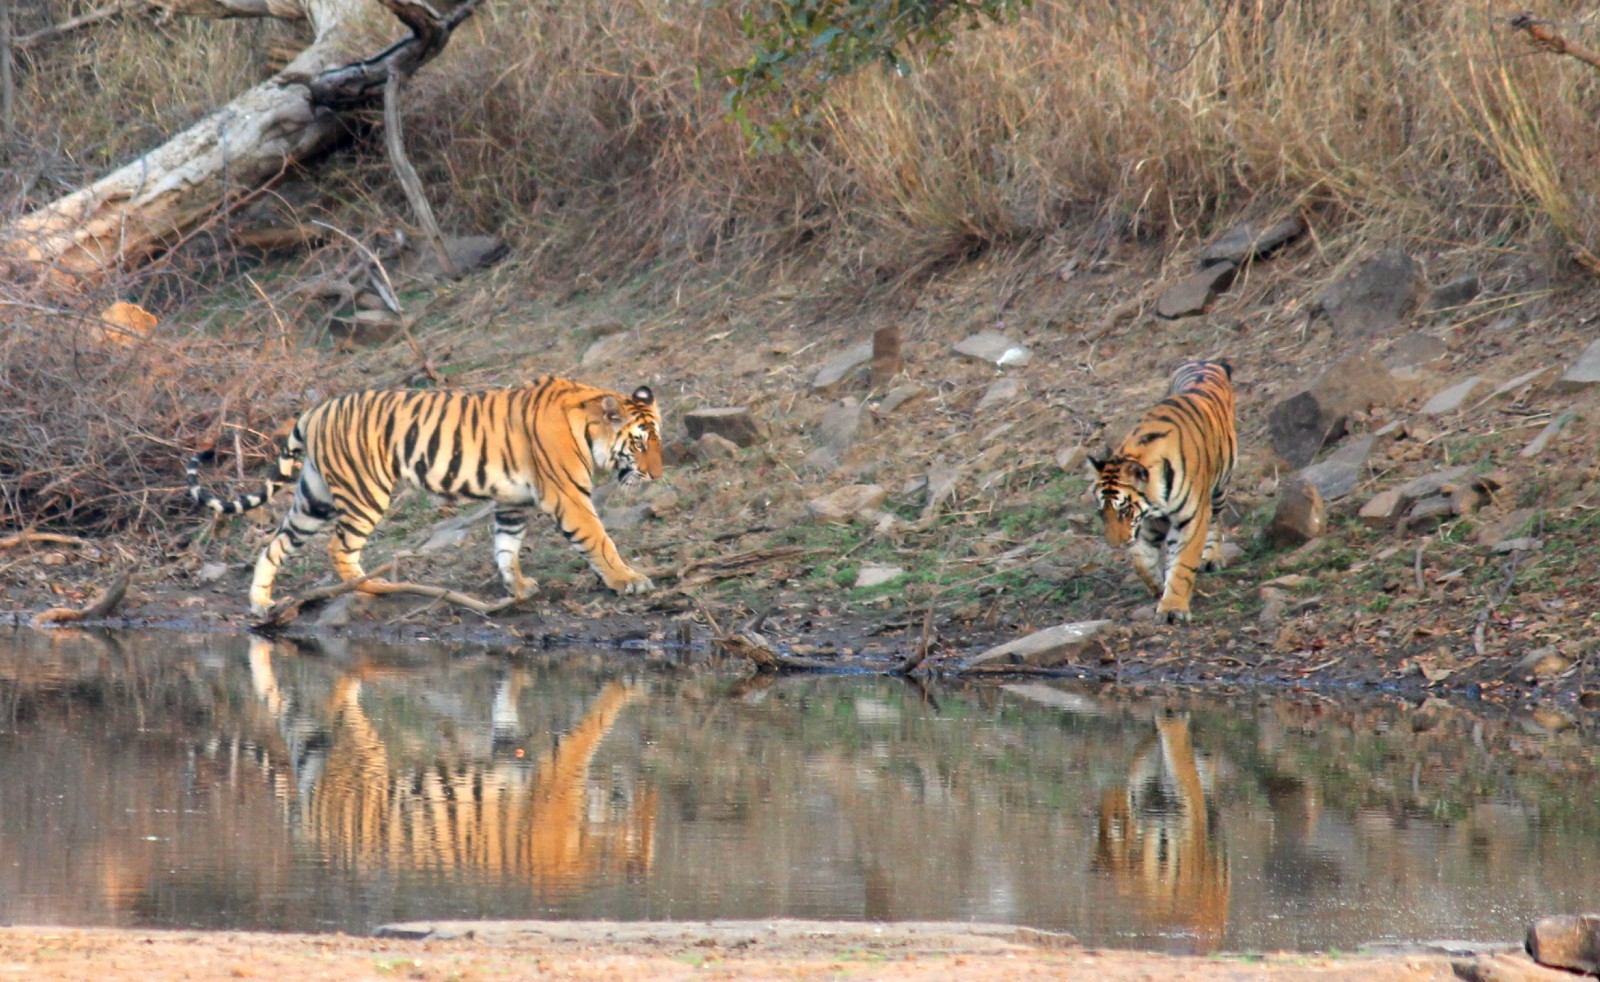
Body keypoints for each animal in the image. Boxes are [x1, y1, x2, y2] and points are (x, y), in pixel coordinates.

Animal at [188, 377, 662, 614]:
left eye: (658, 439)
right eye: (639, 443)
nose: (657, 474)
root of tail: (316, 409)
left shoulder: (512, 501)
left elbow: (506, 546)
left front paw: (518, 587)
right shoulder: (568, 496)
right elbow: (600, 540)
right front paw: (628, 580)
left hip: (313, 499)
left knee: (276, 544)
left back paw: (260, 602)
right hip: (364, 492)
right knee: (339, 548)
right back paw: (373, 586)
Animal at [1088, 359, 1235, 623]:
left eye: (1123, 510)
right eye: (1102, 513)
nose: (1116, 545)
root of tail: (1206, 362)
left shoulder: (1191, 519)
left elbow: (1183, 563)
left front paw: (1173, 608)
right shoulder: (1148, 522)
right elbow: (1142, 561)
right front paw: (1158, 586)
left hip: (1219, 487)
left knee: (1216, 521)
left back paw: (1212, 558)